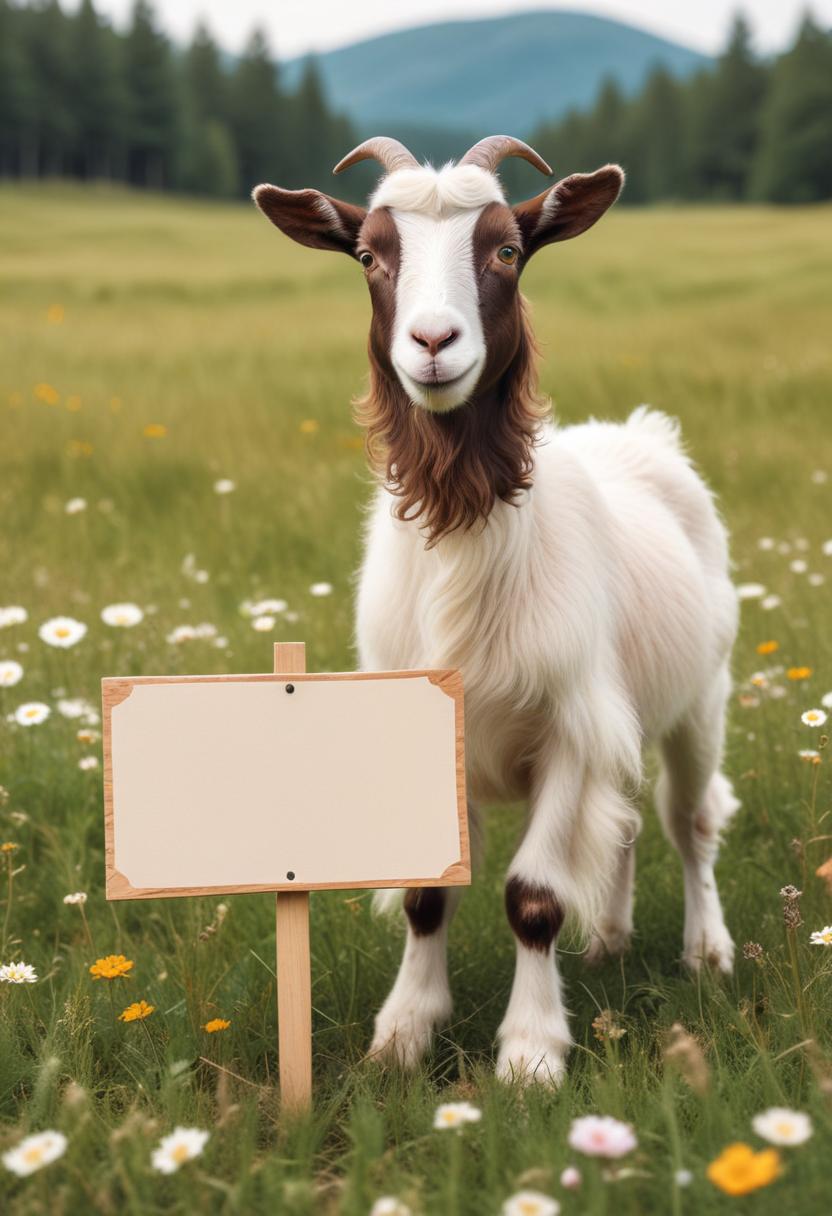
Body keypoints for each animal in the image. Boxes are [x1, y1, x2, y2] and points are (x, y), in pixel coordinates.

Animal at [254, 135, 739, 1084]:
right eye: (369, 256)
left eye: (508, 251)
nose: (433, 342)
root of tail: (640, 433)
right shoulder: (434, 734)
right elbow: (424, 895)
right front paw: (403, 1033)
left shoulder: (567, 728)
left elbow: (534, 898)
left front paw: (530, 1054)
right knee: (626, 822)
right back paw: (611, 940)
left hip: (702, 697)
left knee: (688, 821)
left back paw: (708, 950)